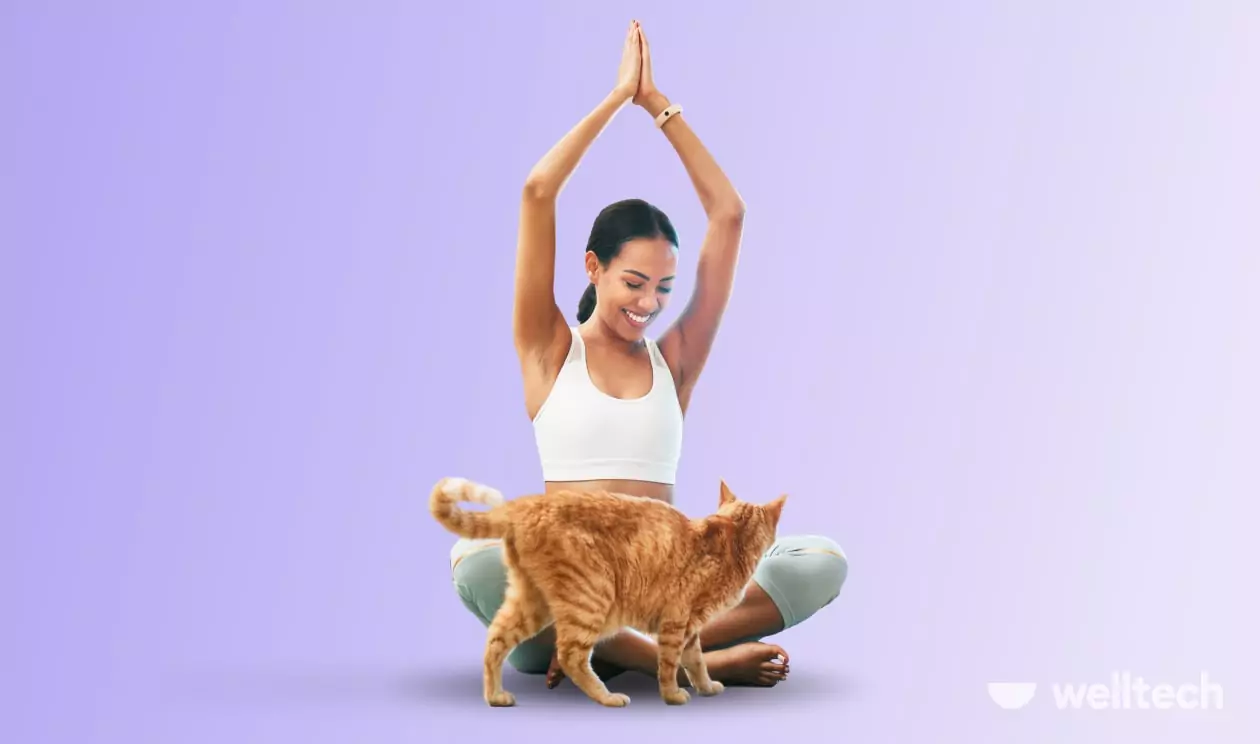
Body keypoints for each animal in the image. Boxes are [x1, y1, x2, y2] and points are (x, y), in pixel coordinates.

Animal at [433, 479, 786, 711]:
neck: (731, 539)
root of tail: (526, 504)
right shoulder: (676, 621)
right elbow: (669, 664)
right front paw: (672, 695)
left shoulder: (690, 627)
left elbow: (696, 661)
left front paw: (707, 688)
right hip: (591, 597)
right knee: (570, 655)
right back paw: (607, 697)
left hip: (532, 603)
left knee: (496, 641)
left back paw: (495, 696)